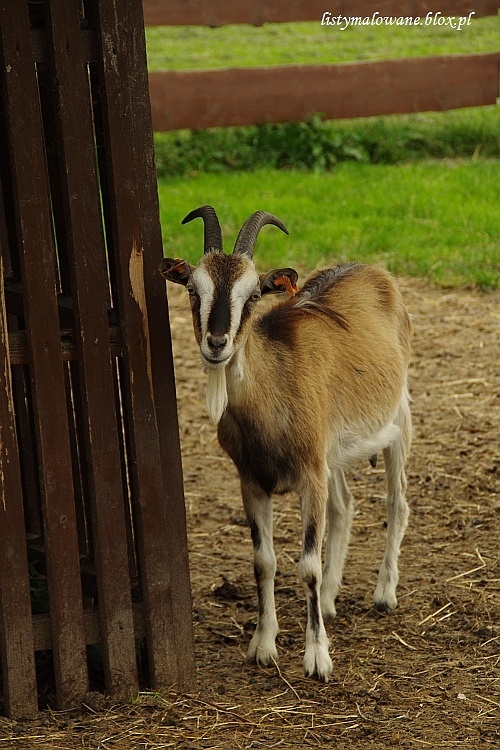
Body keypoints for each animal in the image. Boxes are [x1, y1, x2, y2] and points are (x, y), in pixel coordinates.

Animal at [159, 204, 410, 680]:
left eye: (253, 294)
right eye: (193, 289)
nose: (216, 343)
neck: (274, 386)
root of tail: (371, 270)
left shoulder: (310, 474)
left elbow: (307, 565)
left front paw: (317, 659)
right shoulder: (253, 480)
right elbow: (264, 561)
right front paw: (263, 645)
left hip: (399, 419)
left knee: (396, 502)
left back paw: (385, 594)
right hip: (333, 454)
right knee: (344, 505)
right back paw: (328, 602)